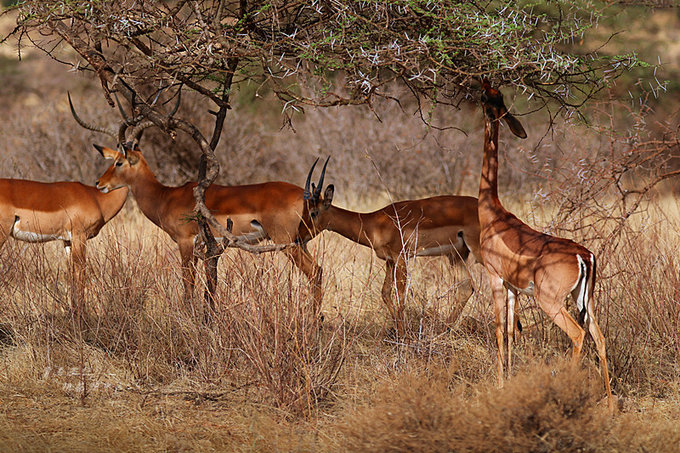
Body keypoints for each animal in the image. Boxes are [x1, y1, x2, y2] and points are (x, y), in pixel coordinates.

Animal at [476, 79, 612, 412]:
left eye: (488, 97)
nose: (482, 85)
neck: (492, 213)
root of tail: (583, 255)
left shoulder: (494, 277)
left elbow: (498, 328)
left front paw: (499, 384)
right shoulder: (513, 287)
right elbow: (512, 331)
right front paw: (510, 379)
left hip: (550, 302)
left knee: (578, 335)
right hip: (585, 298)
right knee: (600, 338)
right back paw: (611, 406)